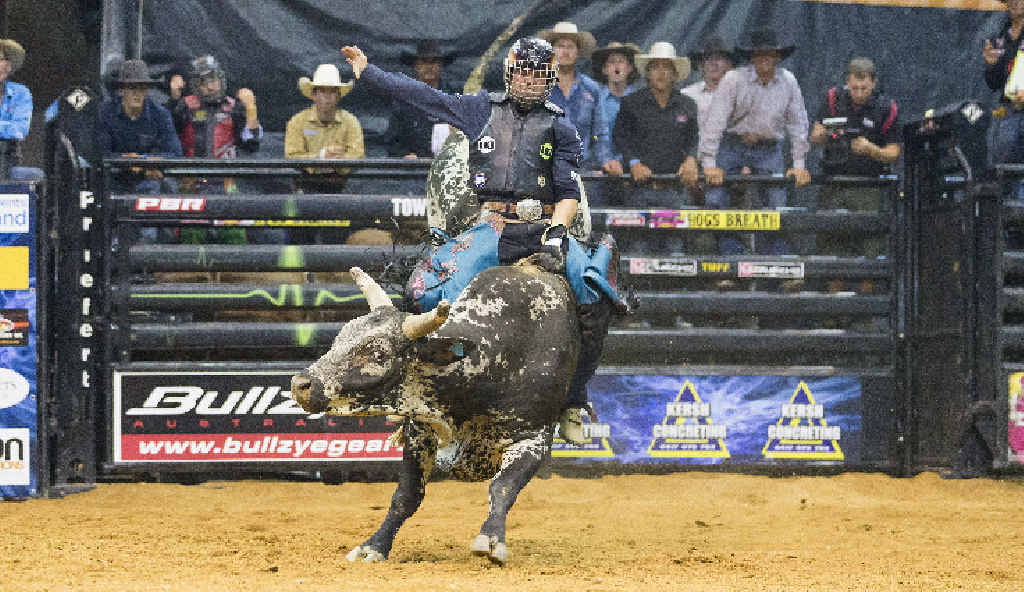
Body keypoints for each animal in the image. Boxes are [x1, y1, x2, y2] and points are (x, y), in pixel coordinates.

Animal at [290, 261, 577, 561]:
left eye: (379, 354)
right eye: (339, 338)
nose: (301, 385)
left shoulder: (533, 439)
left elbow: (503, 487)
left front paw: (491, 540)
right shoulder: (420, 432)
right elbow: (406, 496)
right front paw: (374, 546)